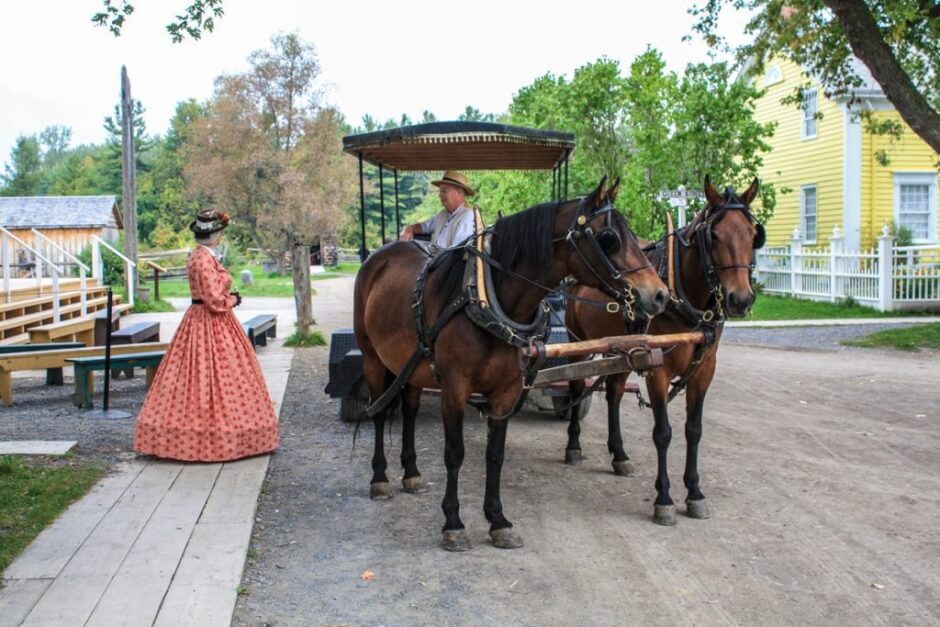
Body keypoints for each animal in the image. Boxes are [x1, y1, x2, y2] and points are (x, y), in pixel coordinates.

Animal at [352, 177, 668, 548]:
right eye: (609, 238)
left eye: (633, 235)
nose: (659, 295)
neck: (489, 298)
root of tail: (380, 258)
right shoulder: (455, 388)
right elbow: (454, 452)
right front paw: (453, 522)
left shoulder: (506, 390)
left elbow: (495, 454)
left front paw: (497, 520)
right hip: (373, 358)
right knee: (378, 411)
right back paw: (380, 478)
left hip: (413, 365)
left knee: (411, 410)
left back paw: (411, 473)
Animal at [564, 177, 764, 524]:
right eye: (714, 235)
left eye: (754, 235)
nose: (740, 299)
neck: (682, 295)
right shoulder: (658, 370)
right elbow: (663, 433)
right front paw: (664, 498)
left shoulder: (704, 370)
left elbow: (693, 430)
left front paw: (694, 493)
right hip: (577, 343)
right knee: (577, 387)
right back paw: (573, 445)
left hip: (622, 352)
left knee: (614, 393)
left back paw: (619, 454)